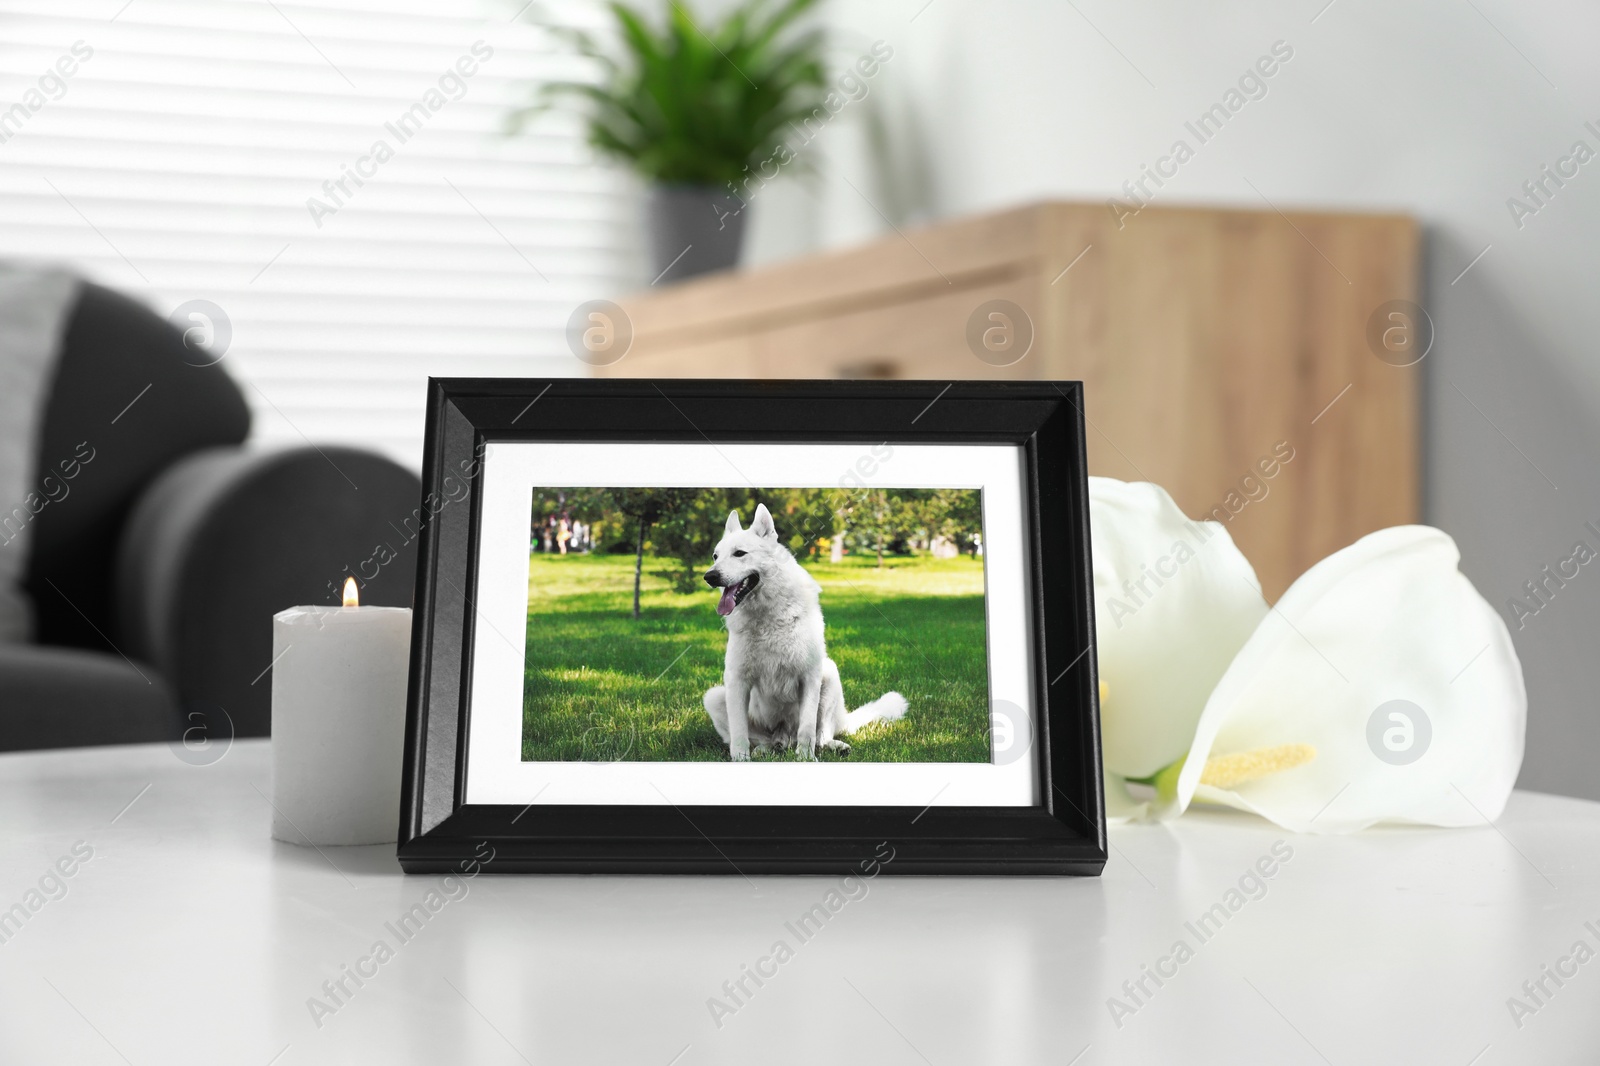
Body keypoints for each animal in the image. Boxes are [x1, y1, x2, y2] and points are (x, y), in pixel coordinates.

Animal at [704, 505, 908, 758]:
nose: (709, 576)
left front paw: (805, 759)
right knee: (762, 740)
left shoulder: (810, 677)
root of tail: (783, 735)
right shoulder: (736, 680)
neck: (768, 615)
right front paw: (741, 760)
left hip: (829, 674)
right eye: (715, 556)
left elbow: (808, 728)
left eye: (739, 553)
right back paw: (767, 749)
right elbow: (739, 733)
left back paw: (832, 746)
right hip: (714, 696)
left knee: (822, 735)